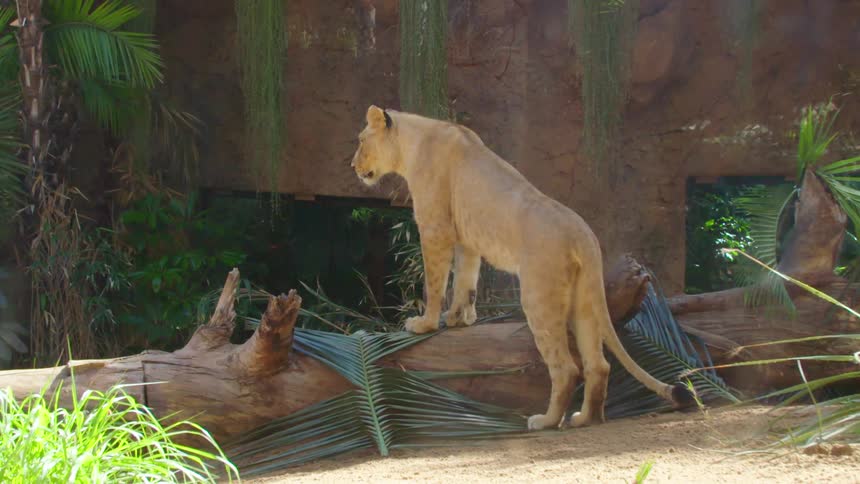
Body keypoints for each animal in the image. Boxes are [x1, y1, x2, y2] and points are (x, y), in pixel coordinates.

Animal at [351, 105, 692, 430]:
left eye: (361, 140)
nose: (353, 167)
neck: (413, 140)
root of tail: (584, 235)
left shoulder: (436, 228)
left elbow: (435, 283)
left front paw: (425, 323)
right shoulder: (467, 239)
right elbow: (466, 281)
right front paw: (460, 319)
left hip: (538, 298)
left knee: (567, 368)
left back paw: (546, 421)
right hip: (584, 301)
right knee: (599, 365)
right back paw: (585, 419)